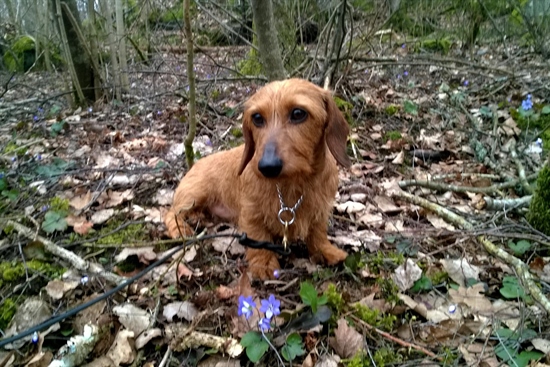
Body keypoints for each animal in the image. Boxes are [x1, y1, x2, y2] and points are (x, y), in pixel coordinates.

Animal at [166, 78, 352, 278]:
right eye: (257, 118)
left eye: (298, 113)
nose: (267, 166)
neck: (293, 183)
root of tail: (196, 163)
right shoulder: (251, 212)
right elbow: (258, 235)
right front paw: (264, 263)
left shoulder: (320, 209)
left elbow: (317, 232)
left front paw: (325, 250)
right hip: (194, 195)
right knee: (170, 213)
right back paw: (180, 229)